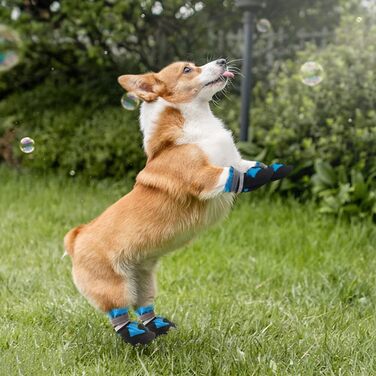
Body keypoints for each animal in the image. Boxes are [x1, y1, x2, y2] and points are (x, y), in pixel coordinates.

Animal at [64, 59, 292, 346]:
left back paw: (157, 325)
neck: (198, 124)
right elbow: (230, 175)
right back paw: (137, 335)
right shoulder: (203, 177)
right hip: (113, 285)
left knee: (144, 305)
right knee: (119, 313)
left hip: (143, 279)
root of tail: (76, 237)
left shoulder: (235, 160)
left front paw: (272, 169)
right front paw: (258, 176)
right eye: (187, 69)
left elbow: (245, 166)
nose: (222, 61)